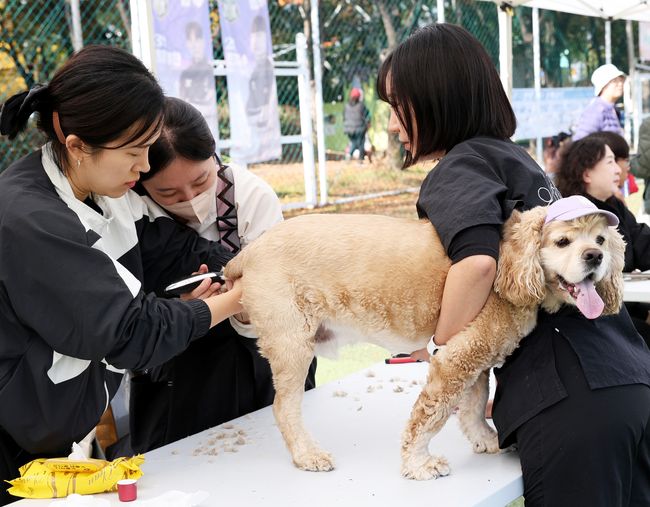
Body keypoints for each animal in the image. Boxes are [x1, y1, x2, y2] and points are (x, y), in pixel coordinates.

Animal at [223, 197, 625, 480]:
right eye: (562, 241)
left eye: (600, 239)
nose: (595, 256)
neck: (509, 264)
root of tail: (247, 253)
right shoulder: (456, 358)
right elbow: (431, 416)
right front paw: (419, 464)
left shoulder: (475, 359)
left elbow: (474, 405)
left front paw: (484, 438)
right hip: (293, 345)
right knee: (284, 407)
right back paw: (308, 455)